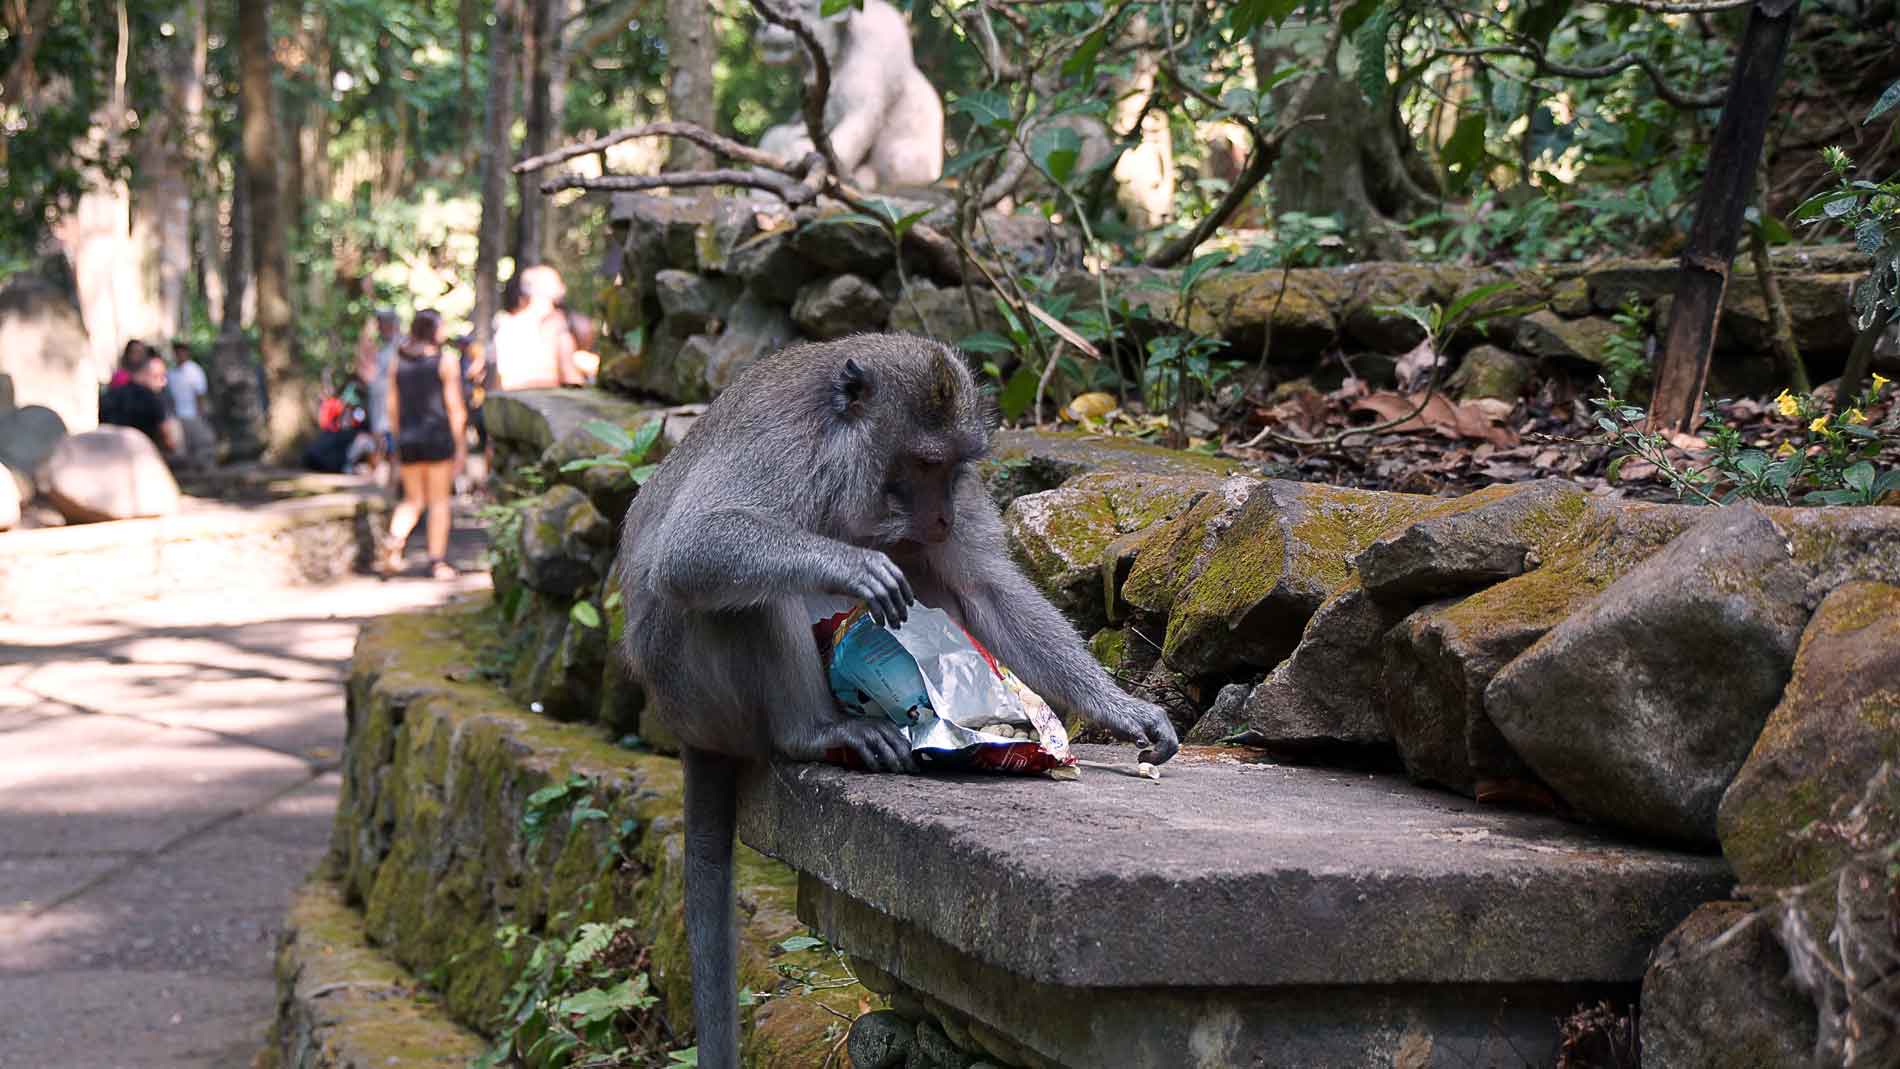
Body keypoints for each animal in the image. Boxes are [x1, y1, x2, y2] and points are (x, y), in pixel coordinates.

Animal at [615, 334, 1179, 1067]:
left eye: (954, 468)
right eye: (923, 463)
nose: (941, 514)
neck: (840, 461)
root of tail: (683, 725)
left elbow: (984, 587)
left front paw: (1118, 707)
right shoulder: (783, 448)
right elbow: (691, 546)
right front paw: (851, 565)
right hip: (694, 684)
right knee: (746, 591)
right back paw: (811, 730)